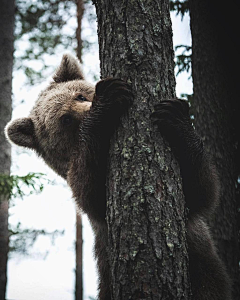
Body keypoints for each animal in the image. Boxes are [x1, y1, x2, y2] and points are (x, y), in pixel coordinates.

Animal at [5, 54, 231, 300]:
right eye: (65, 119)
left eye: (80, 95)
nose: (89, 107)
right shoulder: (87, 196)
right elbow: (93, 194)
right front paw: (108, 101)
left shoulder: (194, 226)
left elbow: (201, 190)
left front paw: (173, 114)